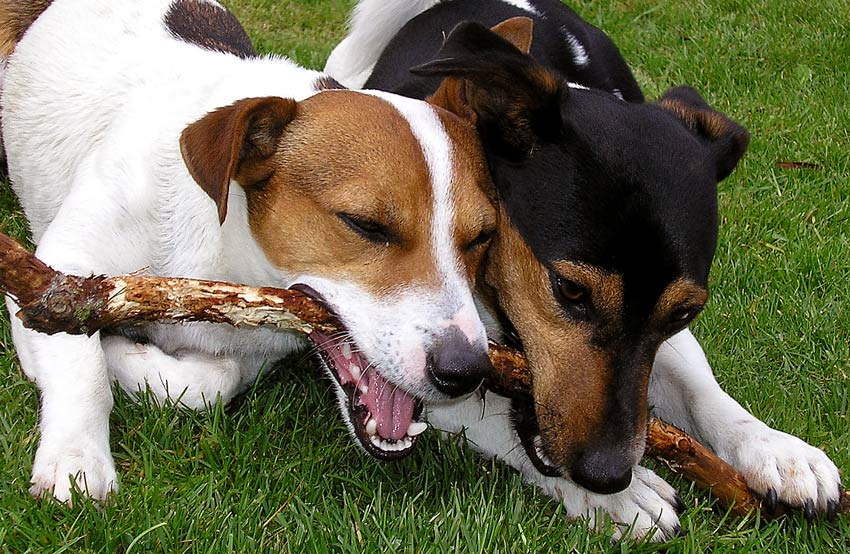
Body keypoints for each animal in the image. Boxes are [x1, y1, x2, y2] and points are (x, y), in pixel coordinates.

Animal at [0, 0, 496, 500]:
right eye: (365, 225)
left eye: (482, 237)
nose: (466, 370)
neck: (222, 253)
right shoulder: (58, 272)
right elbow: (82, 361)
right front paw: (77, 457)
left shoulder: (249, 354)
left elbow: (209, 384)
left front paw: (125, 357)